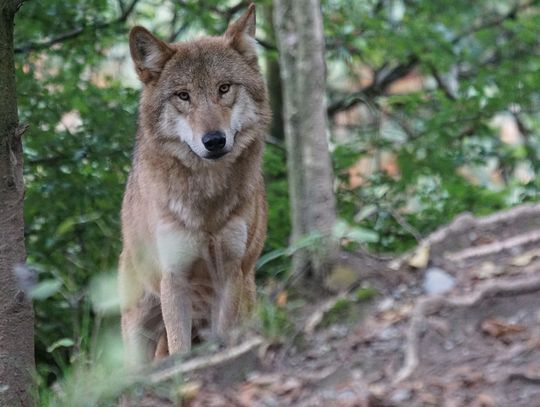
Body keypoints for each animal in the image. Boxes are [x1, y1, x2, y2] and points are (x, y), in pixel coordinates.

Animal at [118, 3, 270, 366]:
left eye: (224, 88)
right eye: (183, 96)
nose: (213, 141)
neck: (207, 202)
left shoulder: (230, 272)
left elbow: (223, 335)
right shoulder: (174, 278)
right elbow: (180, 348)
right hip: (138, 325)